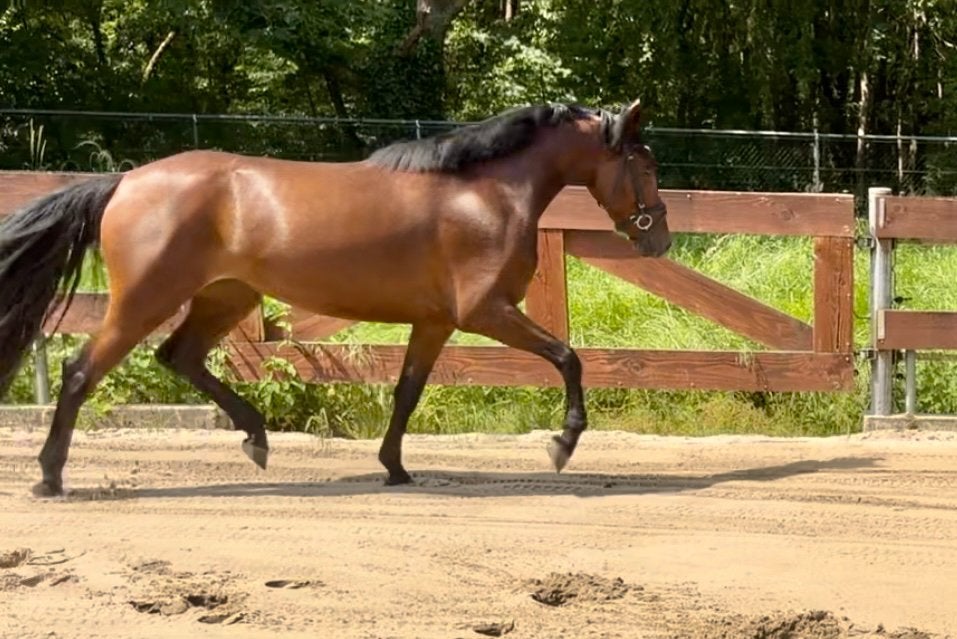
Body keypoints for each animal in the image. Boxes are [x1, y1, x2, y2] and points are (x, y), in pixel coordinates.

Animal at [0, 99, 670, 496]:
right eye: (645, 163)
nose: (658, 236)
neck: (485, 194)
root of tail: (125, 182)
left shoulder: (434, 323)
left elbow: (406, 393)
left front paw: (395, 468)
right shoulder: (486, 313)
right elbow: (568, 358)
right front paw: (563, 444)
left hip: (225, 297)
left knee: (179, 357)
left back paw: (256, 439)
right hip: (147, 298)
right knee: (80, 371)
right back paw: (49, 477)